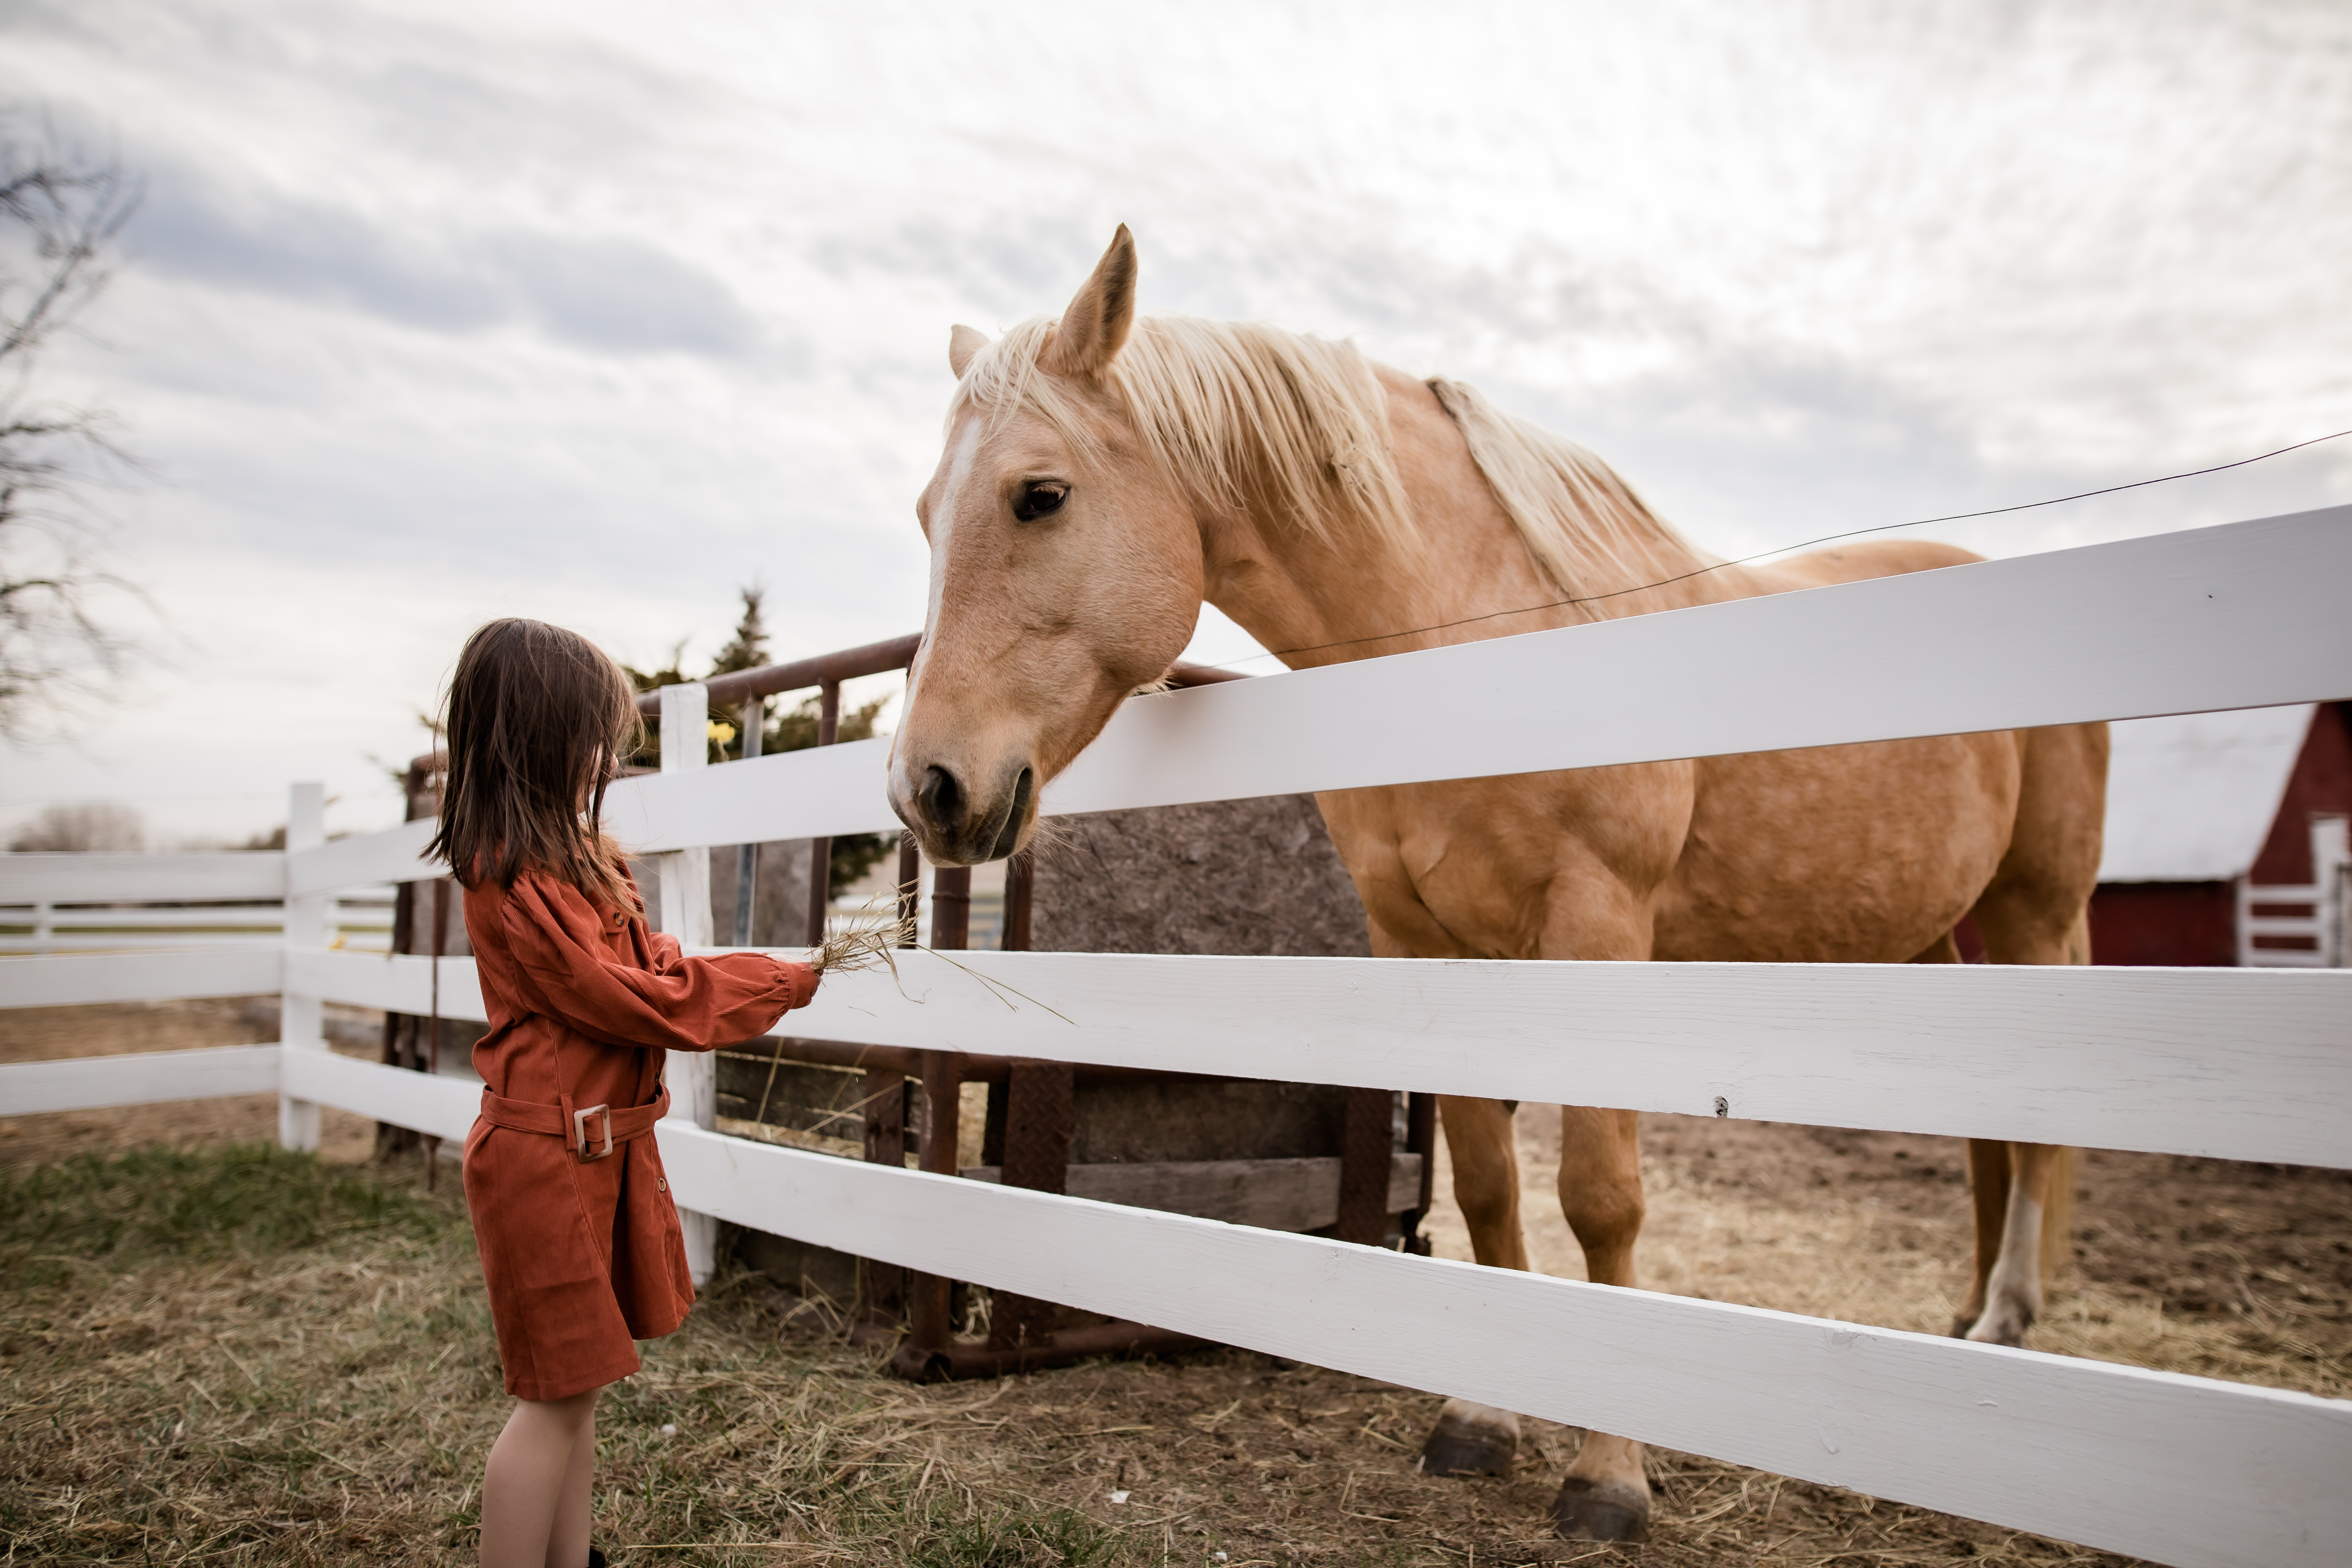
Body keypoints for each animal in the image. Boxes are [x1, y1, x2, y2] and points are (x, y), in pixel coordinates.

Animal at [885, 225, 2105, 1543]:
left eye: (1040, 495)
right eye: (926, 515)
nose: (925, 789)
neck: (1476, 641)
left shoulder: (1597, 929)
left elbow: (1600, 1199)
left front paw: (1608, 1476)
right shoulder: (1427, 945)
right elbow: (1483, 1184)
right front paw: (1480, 1419)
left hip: (2035, 917)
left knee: (2042, 1138)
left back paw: (2005, 1320)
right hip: (1939, 937)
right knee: (1990, 1132)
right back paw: (1968, 1327)